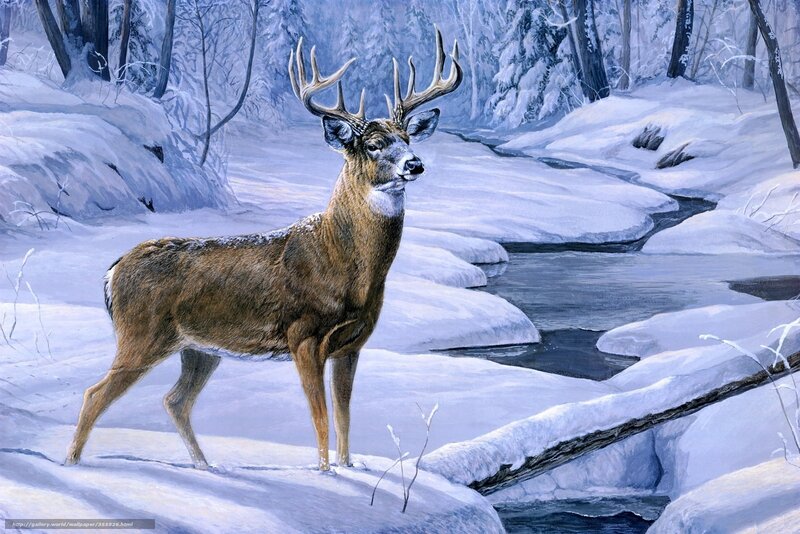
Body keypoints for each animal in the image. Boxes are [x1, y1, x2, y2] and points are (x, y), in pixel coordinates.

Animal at [65, 28, 462, 472]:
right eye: (374, 144)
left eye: (406, 138)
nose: (415, 164)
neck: (345, 266)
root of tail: (112, 271)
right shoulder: (303, 334)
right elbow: (321, 419)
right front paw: (324, 473)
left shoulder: (352, 344)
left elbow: (344, 418)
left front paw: (348, 468)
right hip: (141, 333)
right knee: (94, 394)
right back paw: (72, 463)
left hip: (199, 348)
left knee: (175, 400)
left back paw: (204, 466)